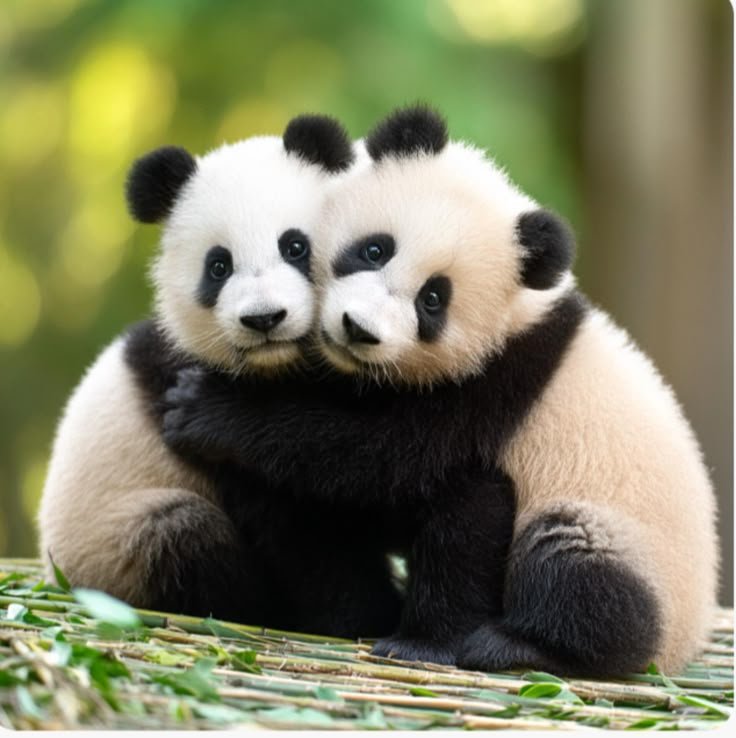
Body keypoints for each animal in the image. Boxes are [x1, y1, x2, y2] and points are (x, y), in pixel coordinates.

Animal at [37, 114, 367, 623]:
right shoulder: (178, 392)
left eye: (295, 246)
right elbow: (295, 527)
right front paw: (361, 611)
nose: (264, 318)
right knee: (181, 534)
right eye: (218, 266)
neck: (276, 366)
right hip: (110, 550)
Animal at [159, 105, 719, 676]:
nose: (358, 329)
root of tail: (687, 638)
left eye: (433, 299)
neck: (515, 316)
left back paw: (518, 644)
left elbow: (390, 457)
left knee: (578, 572)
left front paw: (205, 410)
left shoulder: (493, 384)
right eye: (374, 249)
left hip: (624, 539)